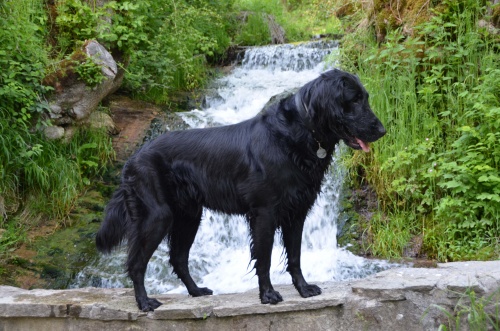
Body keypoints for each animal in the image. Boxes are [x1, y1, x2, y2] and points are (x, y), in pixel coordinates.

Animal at [96, 68, 386, 312]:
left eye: (365, 98)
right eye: (354, 100)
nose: (382, 130)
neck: (297, 134)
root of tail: (133, 159)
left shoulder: (296, 213)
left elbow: (295, 256)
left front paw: (303, 289)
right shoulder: (264, 213)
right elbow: (264, 258)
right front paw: (268, 295)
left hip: (189, 216)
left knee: (178, 258)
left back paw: (196, 291)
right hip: (158, 216)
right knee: (136, 263)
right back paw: (144, 303)